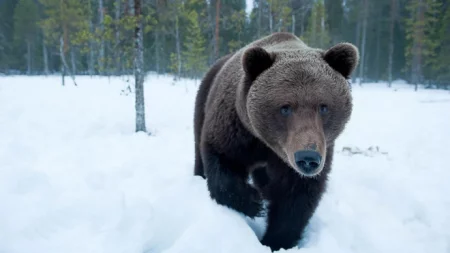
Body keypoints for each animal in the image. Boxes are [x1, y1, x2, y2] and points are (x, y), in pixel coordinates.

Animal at [192, 32, 358, 251]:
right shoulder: (237, 130)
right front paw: (254, 203)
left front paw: (277, 240)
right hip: (203, 99)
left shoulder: (314, 151)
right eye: (285, 107)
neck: (267, 144)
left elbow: (295, 197)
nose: (307, 157)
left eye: (324, 106)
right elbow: (222, 159)